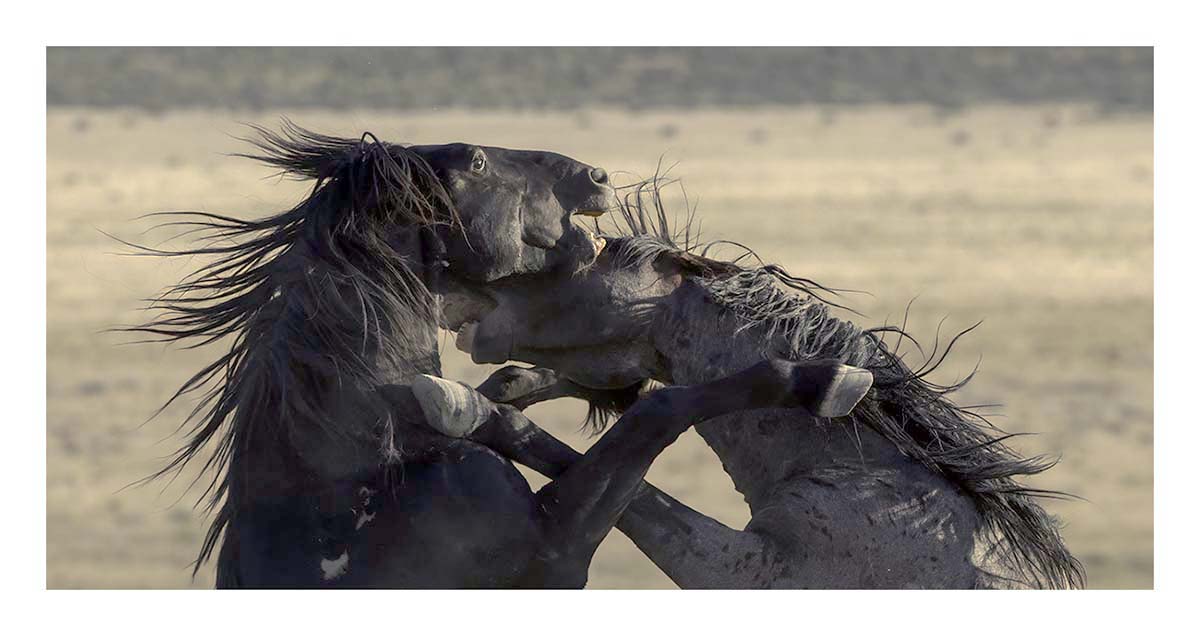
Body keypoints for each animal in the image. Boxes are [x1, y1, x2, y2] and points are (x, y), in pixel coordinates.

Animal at [128, 123, 872, 588]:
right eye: (476, 162)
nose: (595, 175)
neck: (344, 470)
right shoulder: (551, 556)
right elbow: (655, 415)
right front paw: (824, 379)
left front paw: (480, 401)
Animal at [419, 180, 1085, 589]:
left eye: (588, 257)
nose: (455, 288)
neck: (876, 483)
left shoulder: (748, 570)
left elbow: (641, 467)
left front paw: (465, 406)